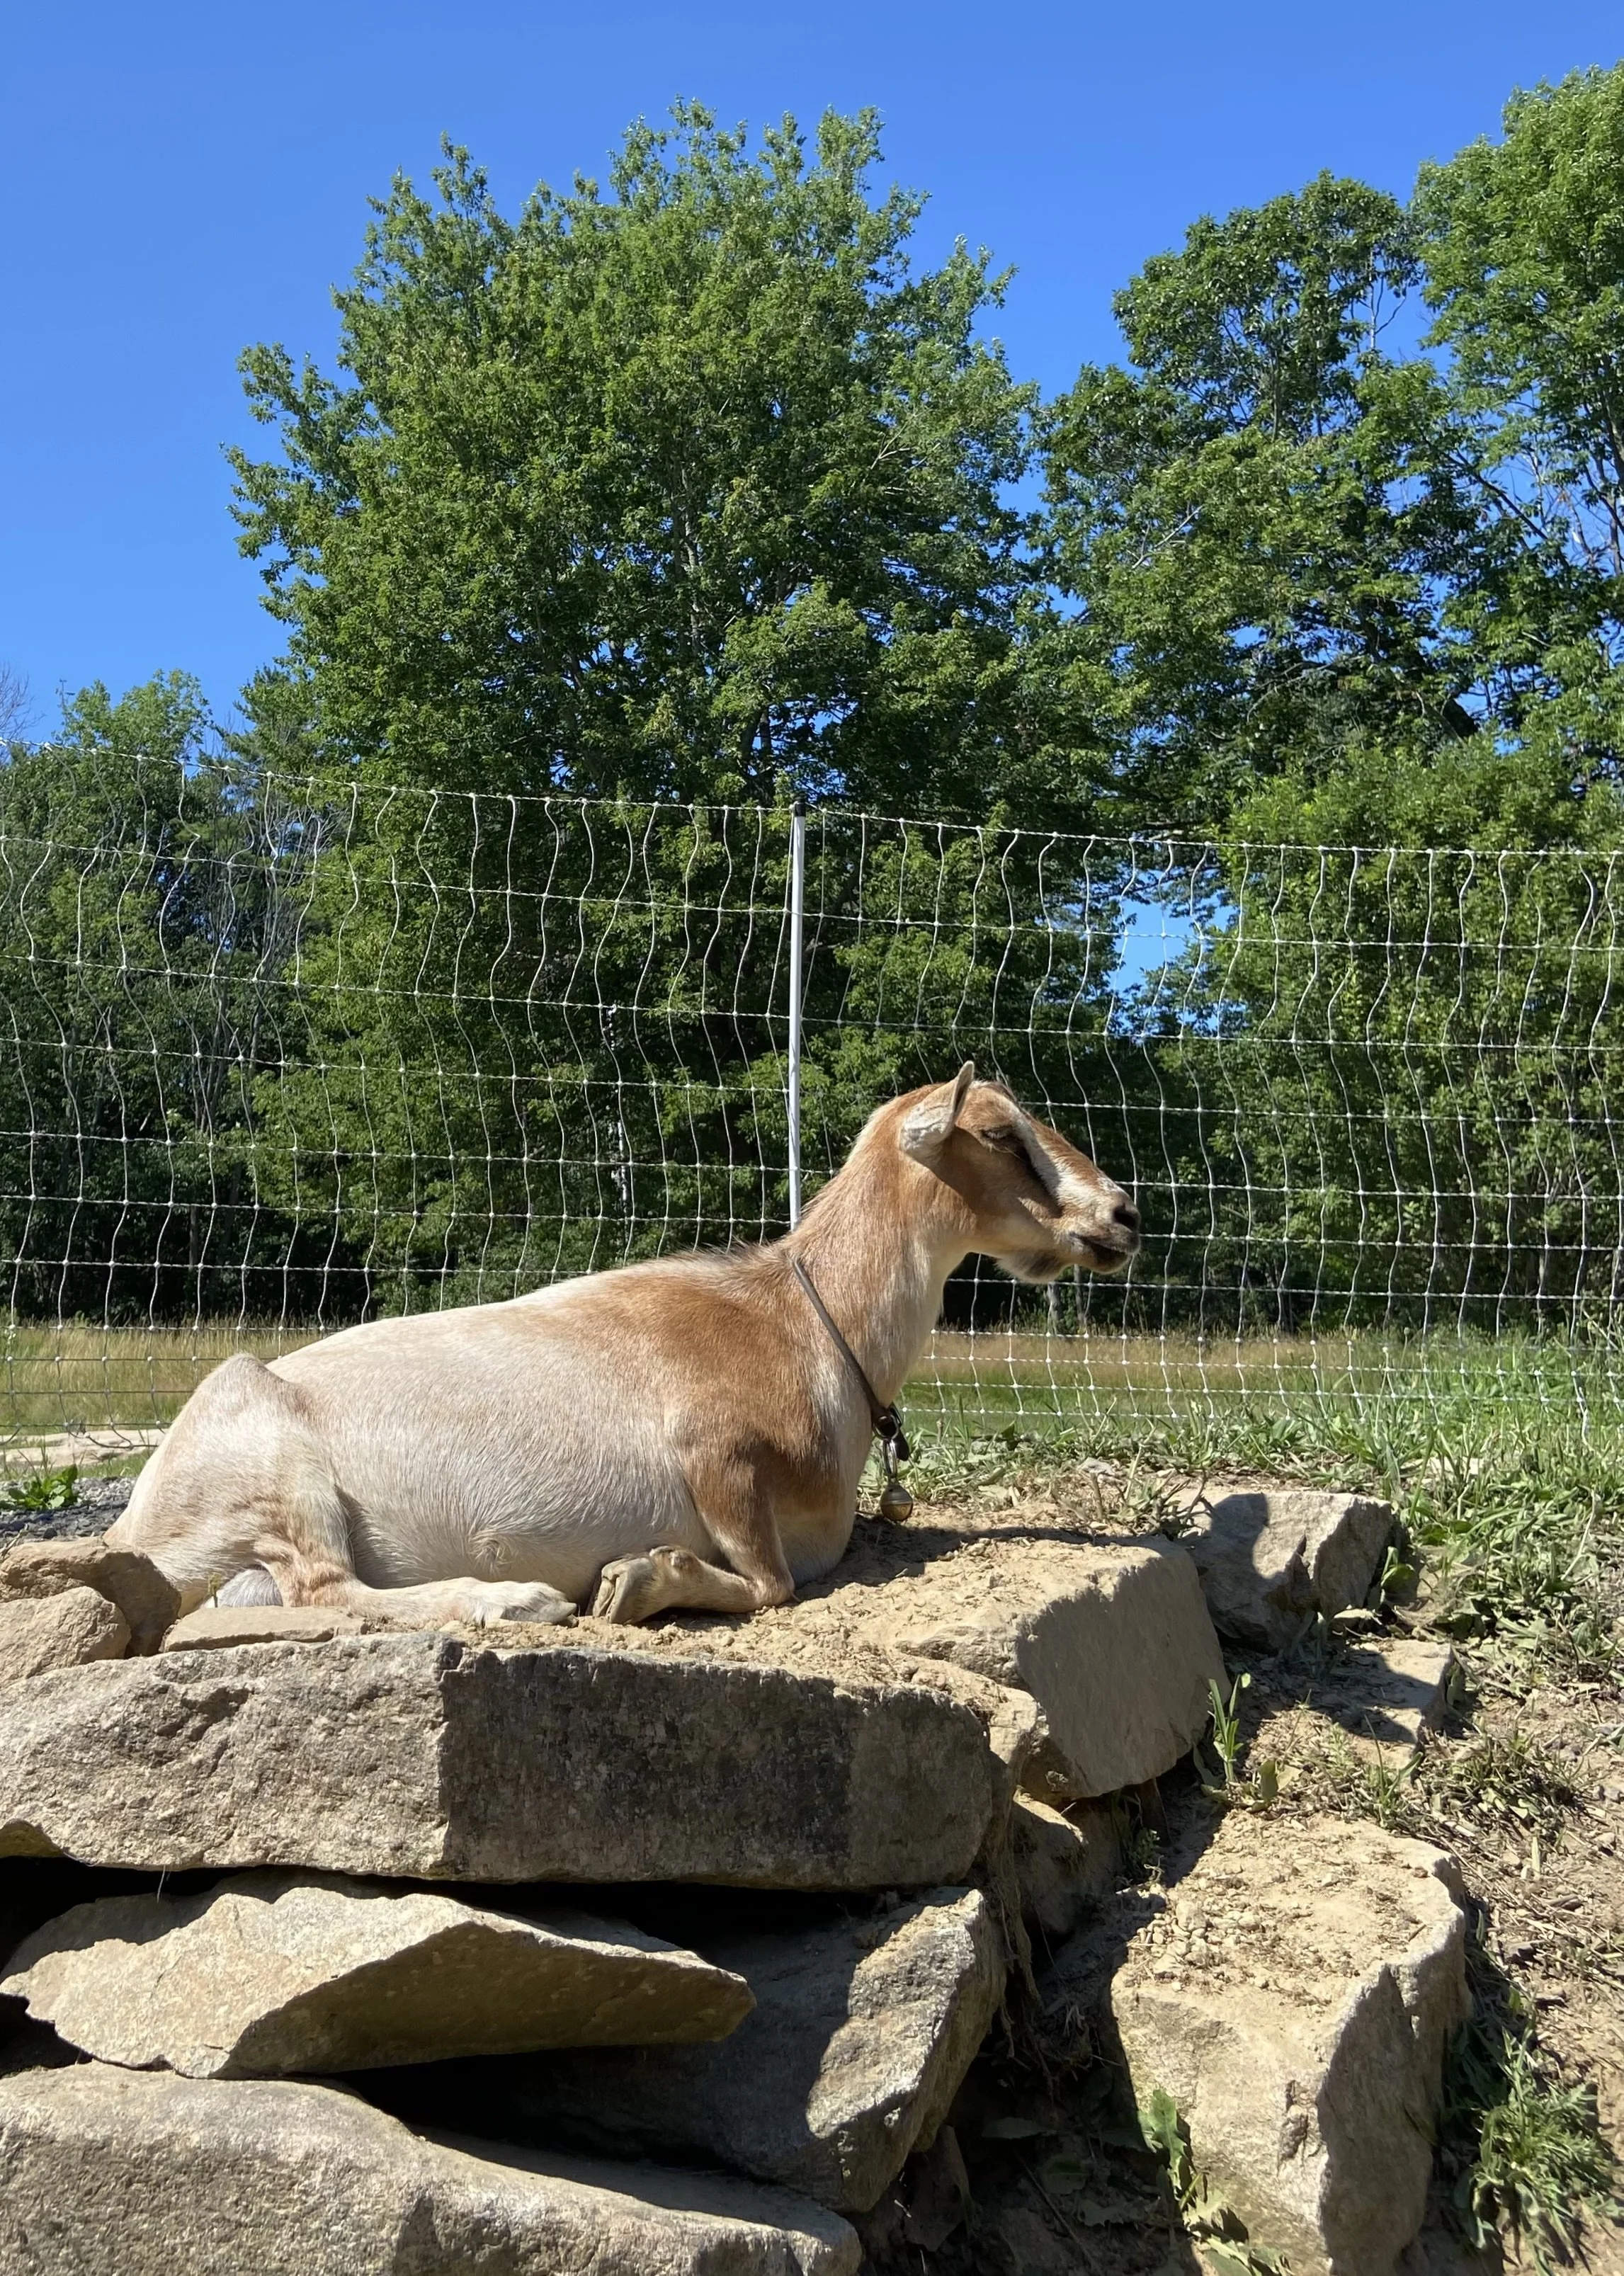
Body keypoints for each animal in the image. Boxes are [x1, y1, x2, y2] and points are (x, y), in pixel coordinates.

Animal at [108, 1066, 1140, 1628]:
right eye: (1000, 1132)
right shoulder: (715, 1453)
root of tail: (137, 1528)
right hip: (271, 1460)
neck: (804, 1324)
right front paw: (638, 1577)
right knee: (324, 1589)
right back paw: (517, 1601)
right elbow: (770, 1581)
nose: (1121, 1214)